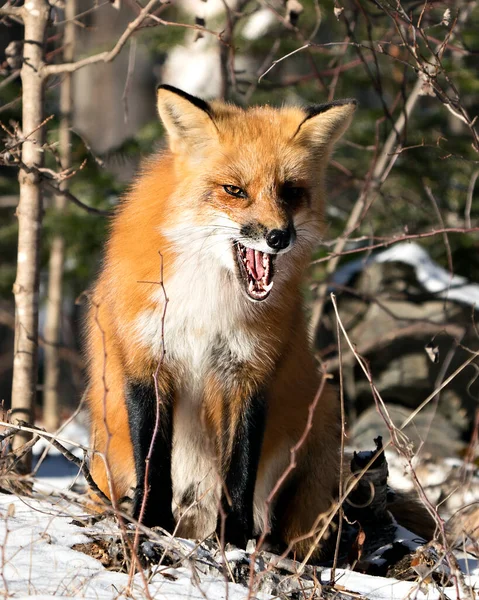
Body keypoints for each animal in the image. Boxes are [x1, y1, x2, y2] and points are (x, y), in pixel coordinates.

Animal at [85, 86, 390, 560]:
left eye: (290, 191)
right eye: (235, 190)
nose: (279, 237)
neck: (207, 300)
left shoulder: (249, 372)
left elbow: (240, 469)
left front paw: (234, 541)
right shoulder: (147, 363)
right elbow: (153, 463)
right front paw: (149, 524)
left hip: (320, 432)